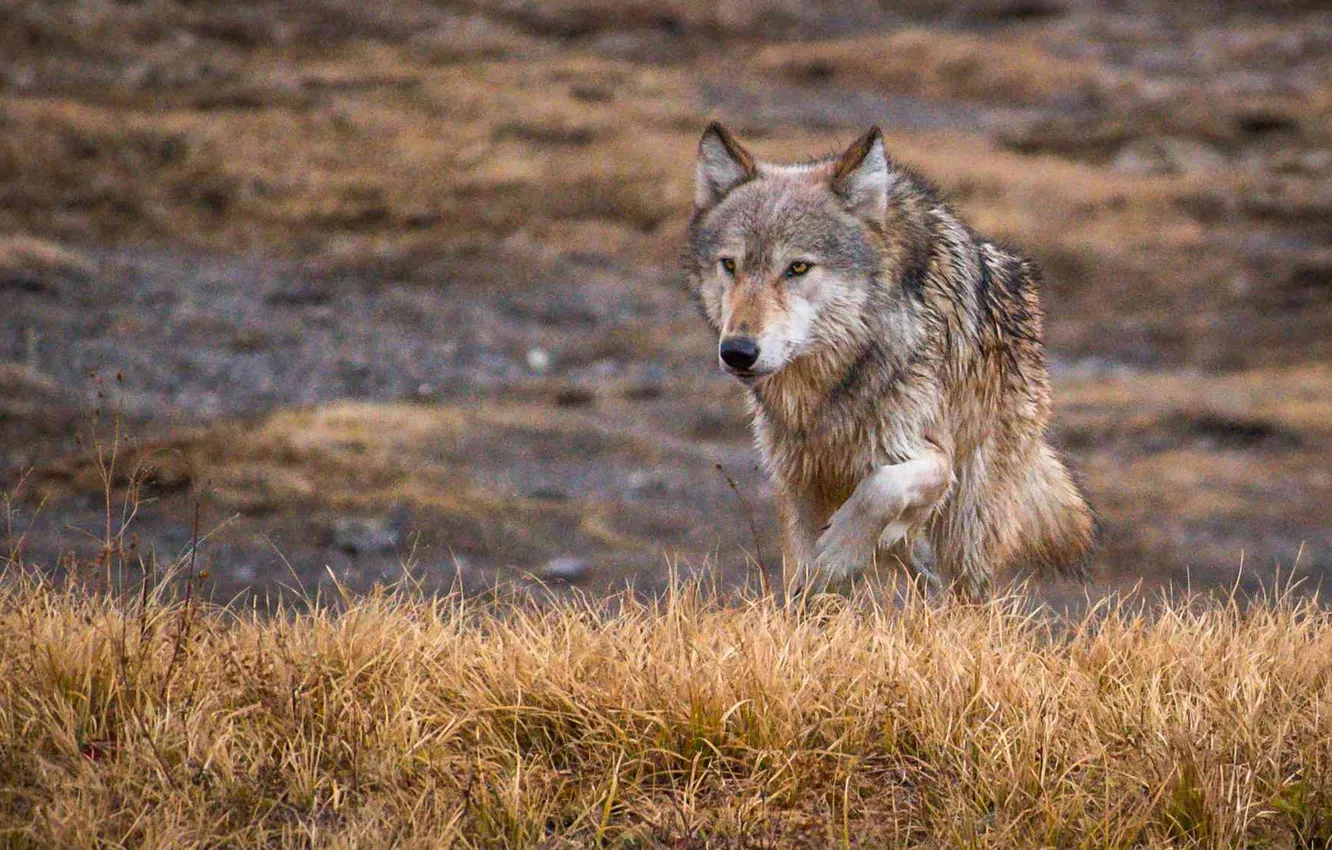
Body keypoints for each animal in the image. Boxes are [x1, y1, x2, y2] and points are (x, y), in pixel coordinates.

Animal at [683, 123, 1094, 598]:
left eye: (798, 268)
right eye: (730, 265)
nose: (738, 352)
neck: (832, 382)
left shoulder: (929, 455)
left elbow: (882, 487)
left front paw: (839, 552)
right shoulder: (797, 475)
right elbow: (802, 576)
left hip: (969, 521)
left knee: (964, 585)